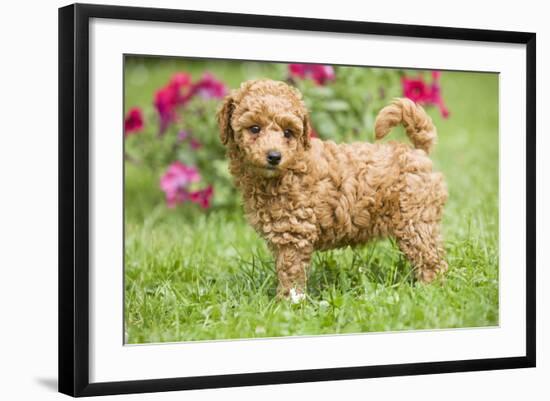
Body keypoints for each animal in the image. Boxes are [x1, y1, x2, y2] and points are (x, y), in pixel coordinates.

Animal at [219, 79, 448, 300]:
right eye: (254, 128)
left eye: (288, 132)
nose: (274, 156)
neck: (290, 168)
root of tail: (417, 151)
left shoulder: (294, 232)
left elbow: (290, 271)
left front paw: (288, 302)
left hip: (415, 220)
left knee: (431, 259)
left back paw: (429, 290)